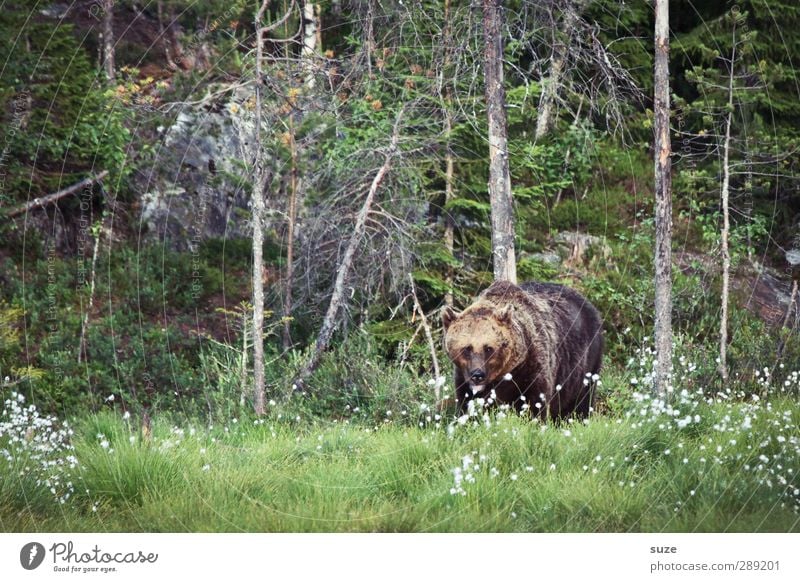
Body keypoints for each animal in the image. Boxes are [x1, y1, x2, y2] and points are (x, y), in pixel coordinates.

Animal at [440, 282, 604, 422]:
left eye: (488, 348)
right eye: (466, 348)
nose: (477, 375)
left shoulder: (532, 367)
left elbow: (536, 401)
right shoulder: (463, 377)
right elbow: (466, 403)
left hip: (586, 361)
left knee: (581, 400)